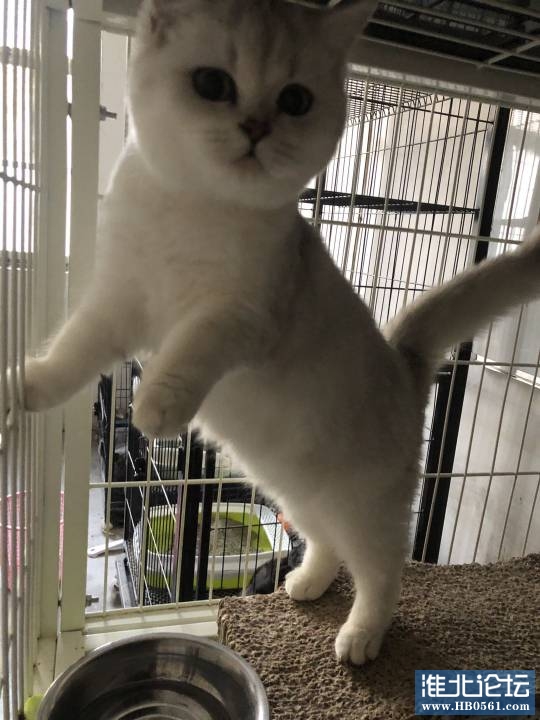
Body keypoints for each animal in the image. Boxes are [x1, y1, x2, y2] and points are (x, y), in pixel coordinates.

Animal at [14, 0, 540, 664]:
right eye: (212, 84)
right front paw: (27, 385)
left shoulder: (242, 315)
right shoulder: (118, 303)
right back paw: (306, 584)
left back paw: (361, 637)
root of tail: (404, 362)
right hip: (296, 491)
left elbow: (190, 348)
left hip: (365, 505)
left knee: (383, 571)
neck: (195, 208)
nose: (257, 127)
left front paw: (156, 407)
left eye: (295, 100)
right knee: (325, 542)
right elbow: (74, 351)